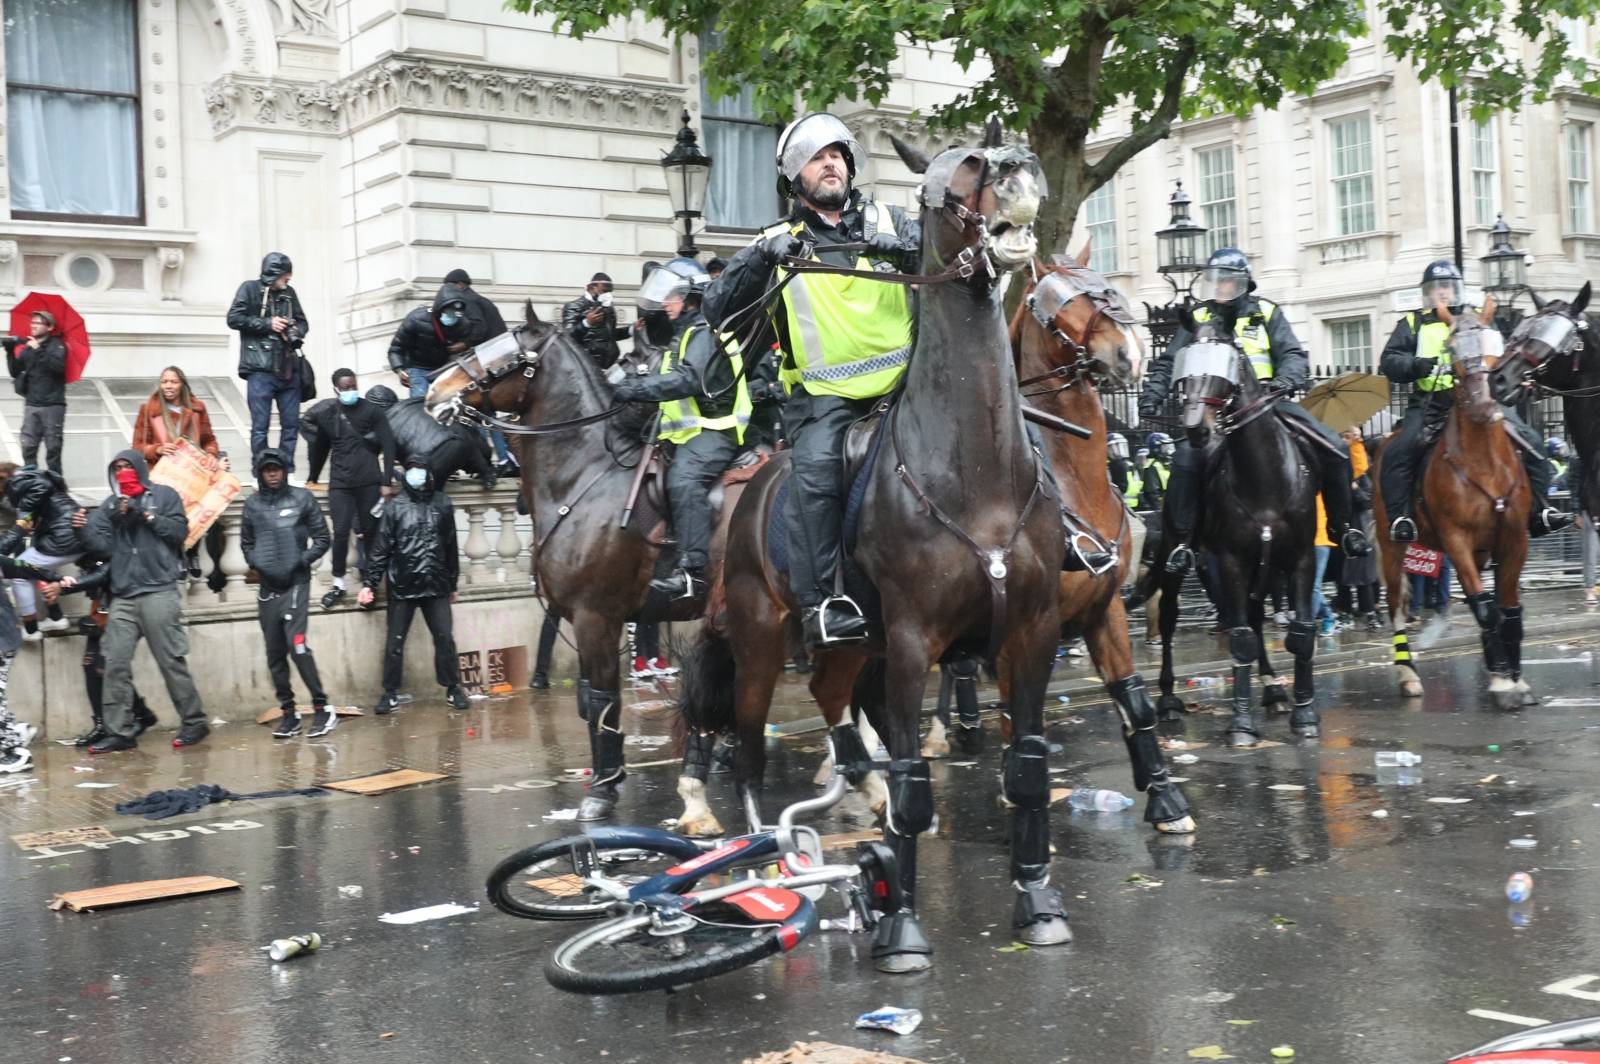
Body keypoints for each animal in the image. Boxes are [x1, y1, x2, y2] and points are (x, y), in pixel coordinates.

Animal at [1139, 312, 1324, 742]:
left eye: (1226, 366)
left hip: (1265, 566)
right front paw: (1242, 724)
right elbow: (1240, 638)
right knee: (1169, 617)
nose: (1196, 429)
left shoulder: (1300, 558)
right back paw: (1168, 699)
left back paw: (1273, 690)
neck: (1265, 479)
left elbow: (1300, 632)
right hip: (1180, 556)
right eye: (1183, 367)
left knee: (1256, 619)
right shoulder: (1231, 561)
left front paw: (1304, 712)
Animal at [1376, 294, 1536, 704]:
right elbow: (1485, 607)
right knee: (1397, 605)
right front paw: (1502, 681)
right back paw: (1407, 673)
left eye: (1498, 345)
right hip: (1391, 544)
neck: (1485, 465)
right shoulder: (1456, 538)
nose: (1486, 405)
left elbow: (1509, 610)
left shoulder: (1514, 538)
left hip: (1482, 550)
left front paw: (1513, 677)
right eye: (1451, 350)